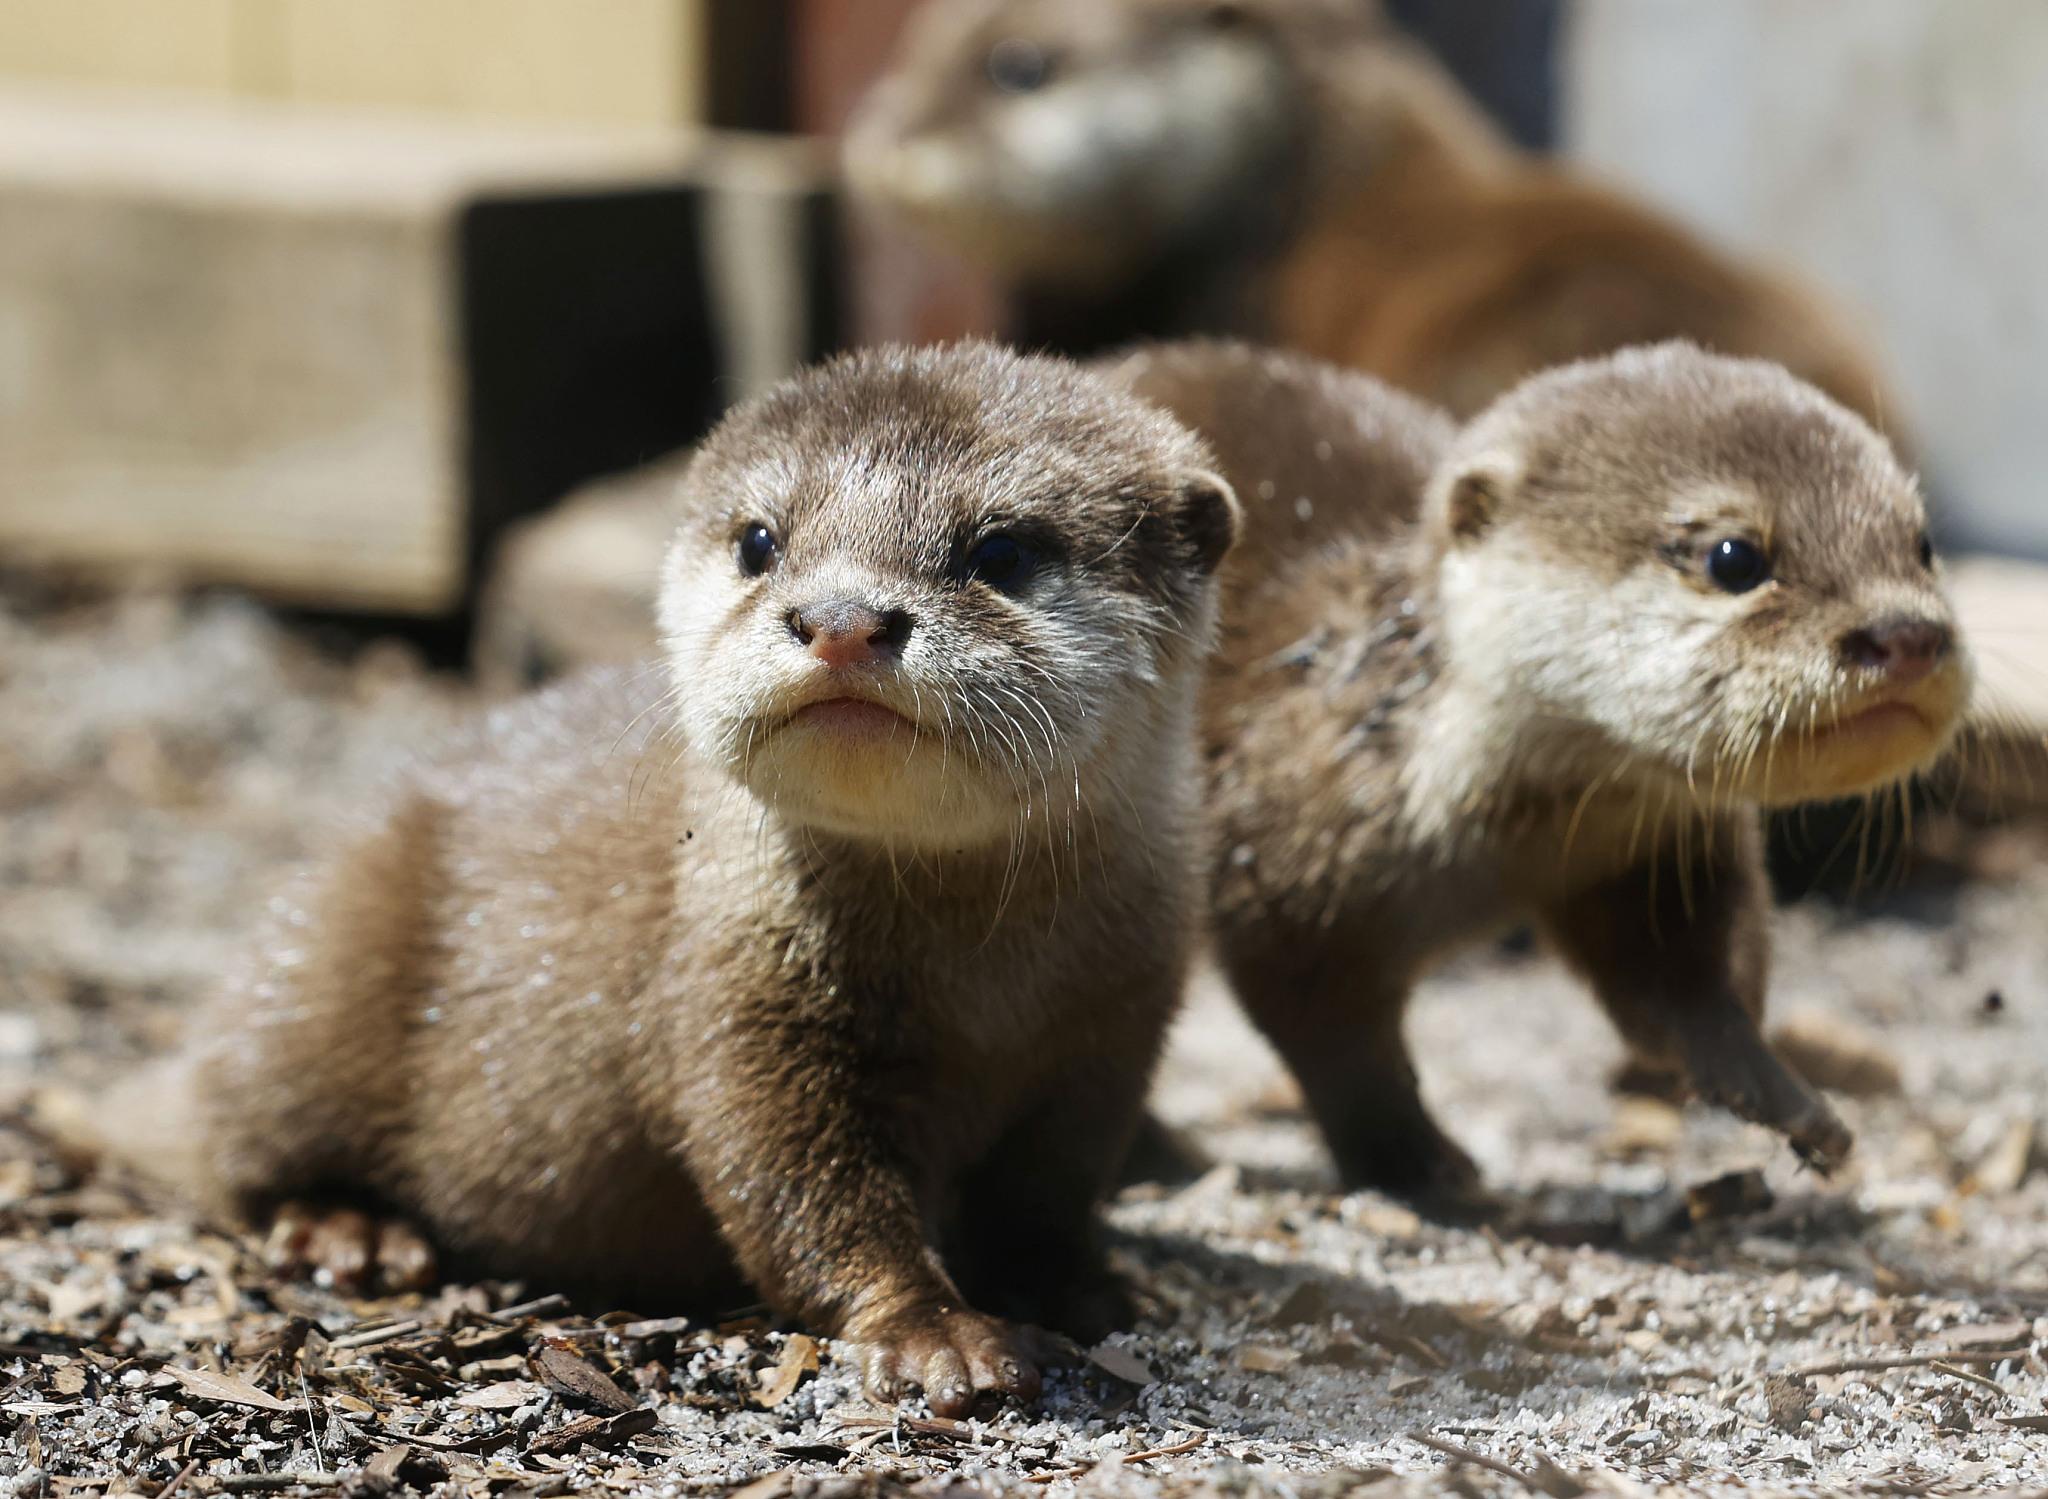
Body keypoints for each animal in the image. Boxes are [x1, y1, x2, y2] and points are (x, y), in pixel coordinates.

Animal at [184, 346, 1236, 1408]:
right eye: (760, 541)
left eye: (1005, 551)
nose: (841, 620)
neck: (981, 985)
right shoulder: (736, 1004)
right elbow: (801, 1189)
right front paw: (937, 1333)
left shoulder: (1113, 1030)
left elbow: (1048, 1193)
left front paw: (1088, 1288)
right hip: (321, 968)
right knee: (235, 1145)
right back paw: (352, 1231)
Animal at [1105, 339, 1966, 1195]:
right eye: (1734, 557)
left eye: (1923, 544)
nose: (1906, 634)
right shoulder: (1282, 861)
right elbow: (1331, 1033)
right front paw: (1418, 1159)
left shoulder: (1646, 851)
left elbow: (1688, 974)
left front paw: (1776, 1088)